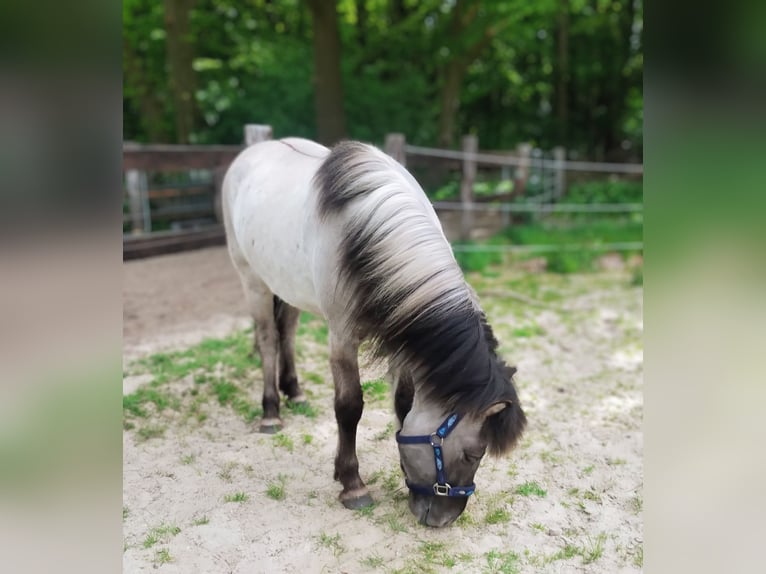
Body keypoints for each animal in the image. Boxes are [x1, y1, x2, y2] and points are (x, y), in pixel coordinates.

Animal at [222, 137, 527, 527]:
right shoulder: (342, 337)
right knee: (268, 341)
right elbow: (349, 406)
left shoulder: (402, 338)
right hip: (254, 282)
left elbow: (403, 403)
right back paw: (271, 413)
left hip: (287, 286)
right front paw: (352, 483)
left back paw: (295, 392)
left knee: (286, 331)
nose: (444, 519)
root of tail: (255, 150)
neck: (366, 235)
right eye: (474, 454)